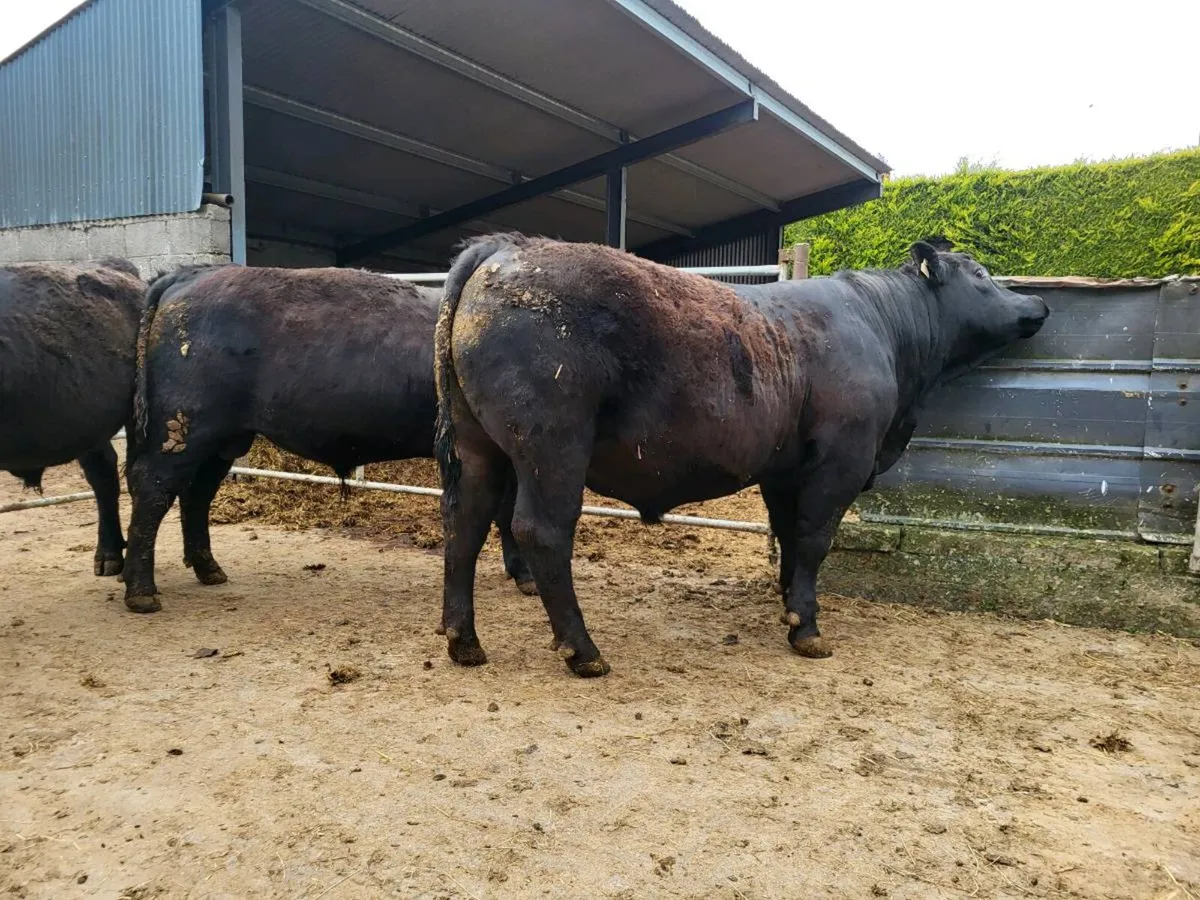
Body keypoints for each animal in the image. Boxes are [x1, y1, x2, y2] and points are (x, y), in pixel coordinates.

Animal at [120, 264, 532, 613]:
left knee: (196, 495)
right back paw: (141, 592)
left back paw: (207, 568)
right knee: (154, 489)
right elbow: (507, 509)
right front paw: (524, 573)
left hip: (222, 441)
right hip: (182, 428)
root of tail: (188, 274)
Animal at [433, 234, 1049, 677]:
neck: (883, 327)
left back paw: (464, 642)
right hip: (553, 445)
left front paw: (789, 604)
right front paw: (808, 630)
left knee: (464, 524)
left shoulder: (783, 469)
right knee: (542, 532)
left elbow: (791, 536)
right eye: (981, 275)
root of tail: (504, 247)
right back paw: (583, 652)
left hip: (480, 446)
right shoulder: (843, 459)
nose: (1039, 300)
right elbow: (815, 537)